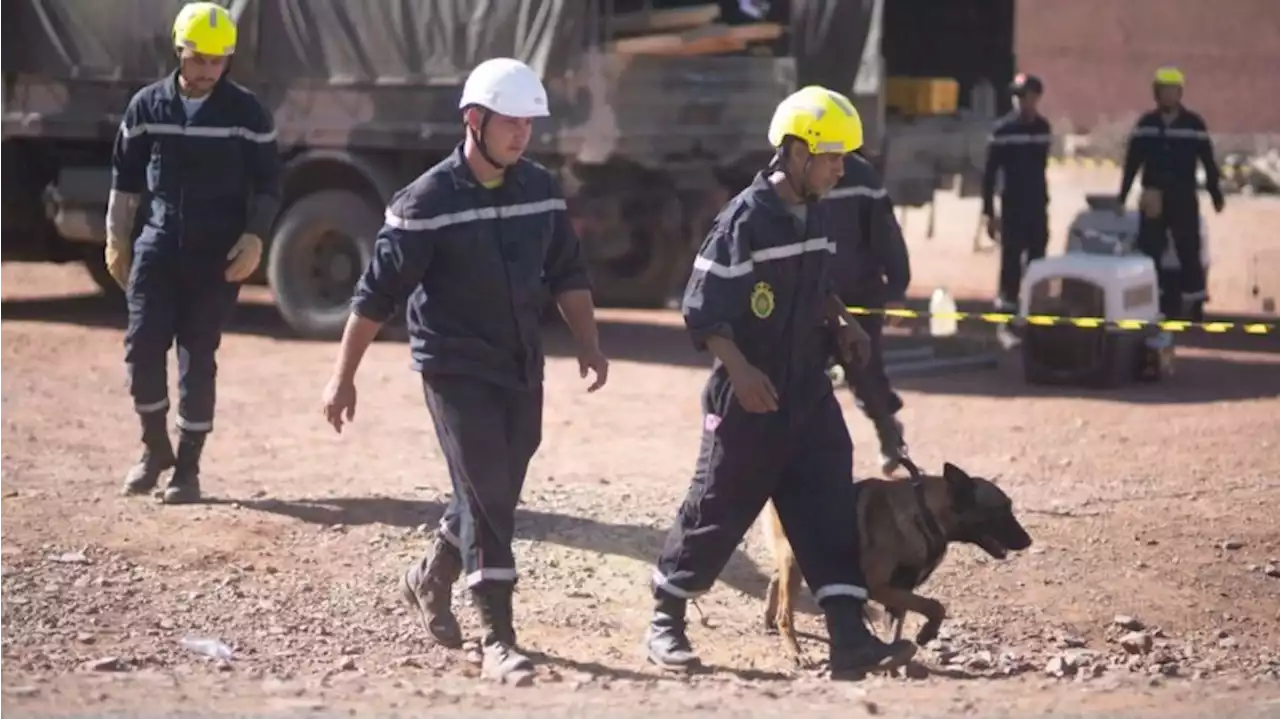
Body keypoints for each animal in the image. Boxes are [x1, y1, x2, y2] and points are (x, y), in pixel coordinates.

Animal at [757, 460, 1029, 665]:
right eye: (1000, 510)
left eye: (1009, 507)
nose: (1028, 541)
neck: (925, 513)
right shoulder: (879, 588)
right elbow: (935, 606)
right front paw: (926, 634)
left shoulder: (900, 590)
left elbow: (898, 625)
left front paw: (896, 656)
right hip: (794, 561)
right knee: (785, 613)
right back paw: (795, 651)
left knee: (775, 579)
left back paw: (769, 620)